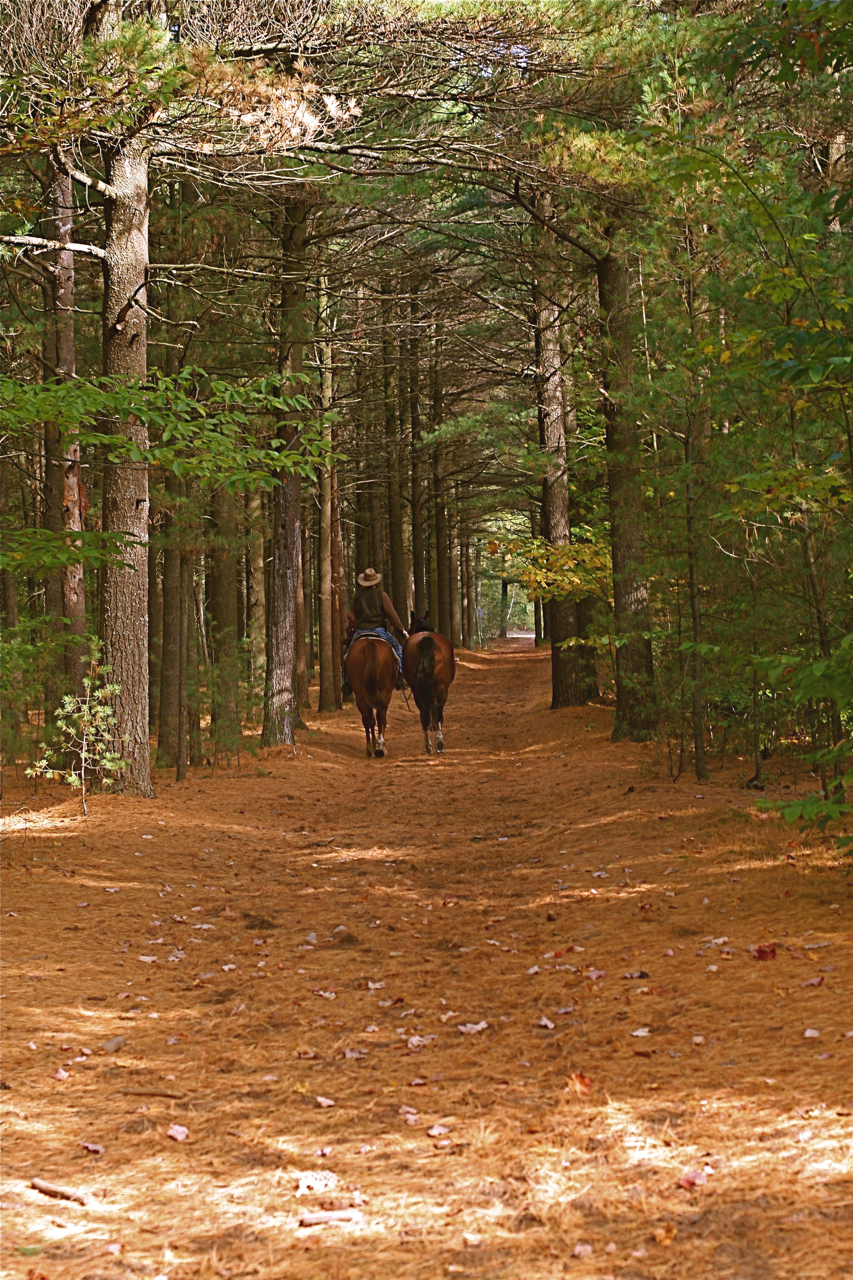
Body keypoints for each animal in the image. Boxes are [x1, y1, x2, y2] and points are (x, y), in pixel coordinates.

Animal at [402, 614, 455, 752]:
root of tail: (427, 639)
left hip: (418, 689)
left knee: (425, 711)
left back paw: (431, 743)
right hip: (441, 687)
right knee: (437, 709)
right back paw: (436, 742)